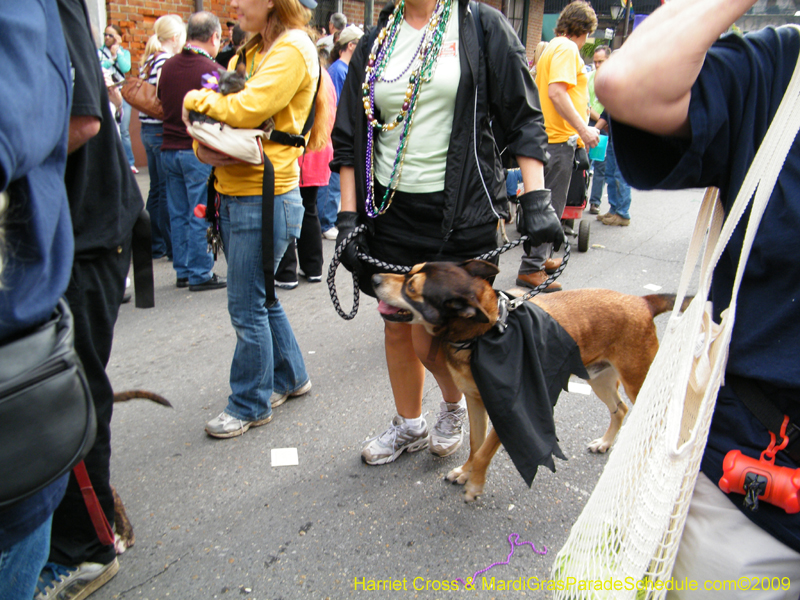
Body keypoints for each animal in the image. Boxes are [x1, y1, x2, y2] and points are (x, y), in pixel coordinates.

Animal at [372, 262, 684, 502]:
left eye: (412, 288)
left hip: (638, 380)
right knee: (620, 409)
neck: (484, 335)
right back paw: (606, 443)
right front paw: (465, 471)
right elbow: (475, 443)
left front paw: (475, 483)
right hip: (600, 379)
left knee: (654, 419)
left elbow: (485, 451)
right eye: (410, 270)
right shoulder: (475, 401)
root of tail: (641, 302)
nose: (374, 278)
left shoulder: (510, 410)